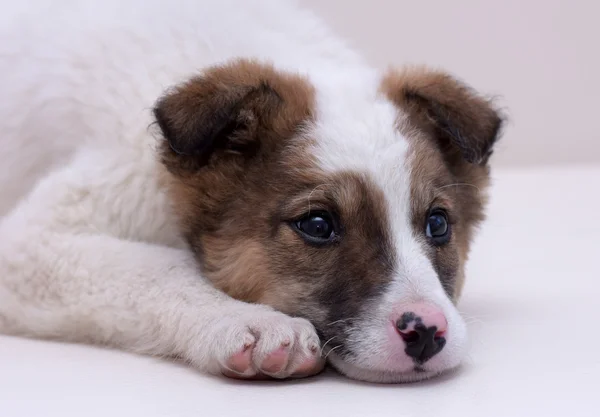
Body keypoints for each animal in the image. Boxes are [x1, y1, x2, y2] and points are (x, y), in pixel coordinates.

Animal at [1, 0, 502, 384]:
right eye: (317, 225)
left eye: (438, 223)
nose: (427, 333)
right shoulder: (31, 244)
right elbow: (155, 267)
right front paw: (246, 321)